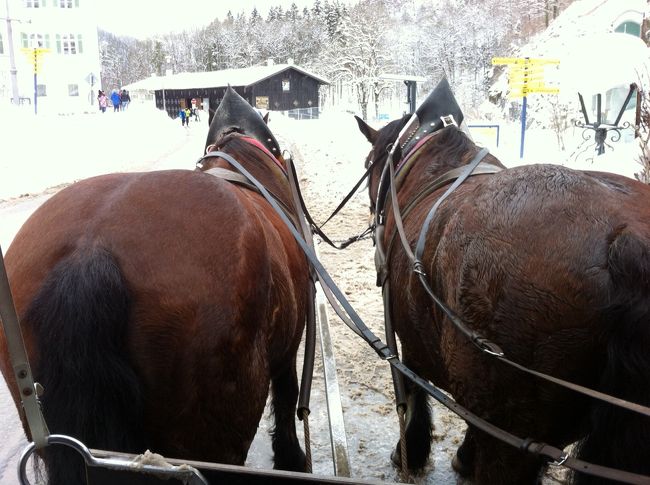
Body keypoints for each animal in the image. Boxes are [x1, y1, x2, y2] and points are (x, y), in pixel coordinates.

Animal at [354, 77, 648, 482]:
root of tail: (624, 240)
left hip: (512, 435)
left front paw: (410, 450)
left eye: (369, 164)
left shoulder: (408, 337)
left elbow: (413, 389)